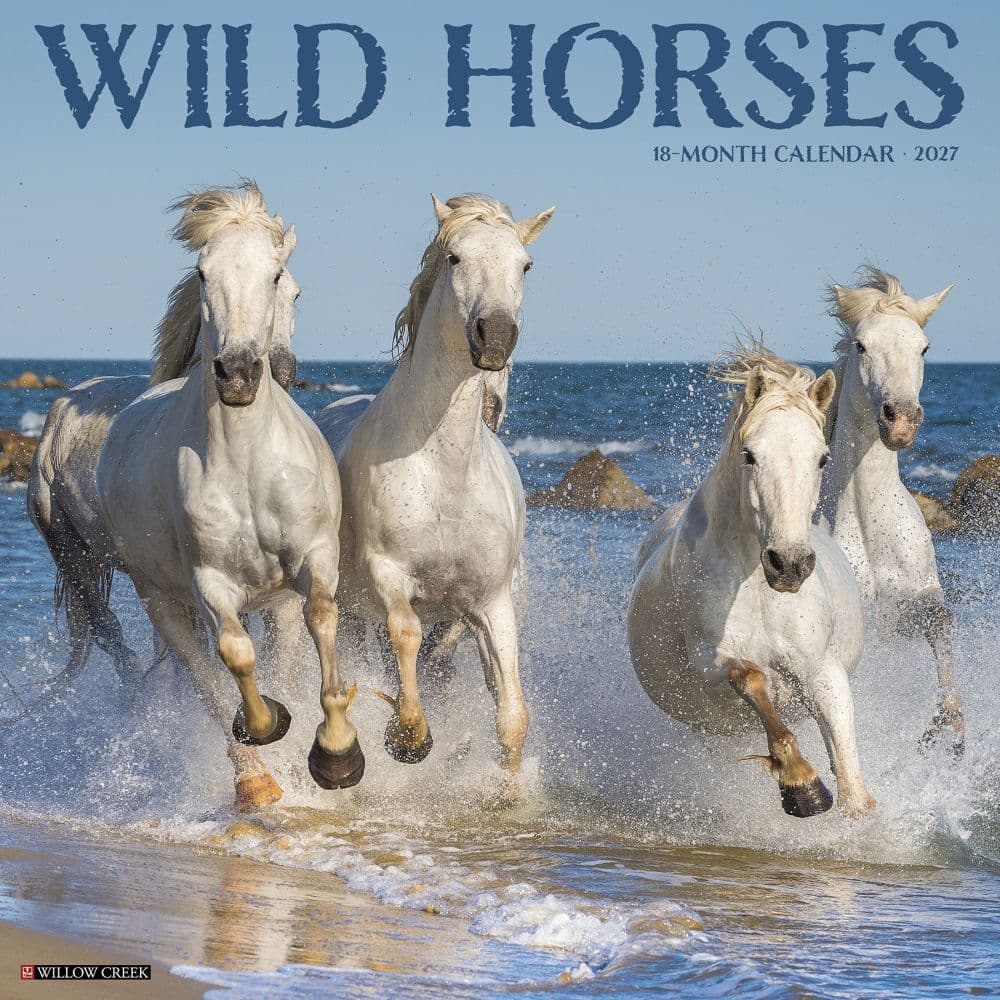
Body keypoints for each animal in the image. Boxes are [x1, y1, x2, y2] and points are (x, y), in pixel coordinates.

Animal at [96, 184, 360, 812]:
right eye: (201, 272)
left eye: (280, 276)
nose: (238, 372)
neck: (247, 465)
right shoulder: (210, 582)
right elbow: (236, 657)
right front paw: (269, 727)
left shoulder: (314, 561)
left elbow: (322, 621)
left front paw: (338, 754)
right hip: (162, 603)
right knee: (206, 680)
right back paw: (256, 781)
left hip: (274, 605)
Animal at [314, 193, 553, 798]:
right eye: (454, 257)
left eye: (525, 265)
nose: (495, 336)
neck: (446, 474)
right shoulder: (388, 574)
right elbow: (405, 634)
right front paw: (408, 737)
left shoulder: (490, 603)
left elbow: (511, 714)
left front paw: (507, 797)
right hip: (352, 611)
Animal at [628, 342, 876, 819]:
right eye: (750, 455)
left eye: (822, 458)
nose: (789, 565)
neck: (759, 589)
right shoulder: (710, 663)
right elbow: (751, 678)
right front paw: (802, 785)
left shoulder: (823, 671)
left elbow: (852, 781)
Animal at [818, 267, 962, 753]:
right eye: (861, 345)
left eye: (923, 347)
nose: (900, 419)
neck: (869, 524)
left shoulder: (913, 603)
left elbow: (941, 622)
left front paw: (950, 724)